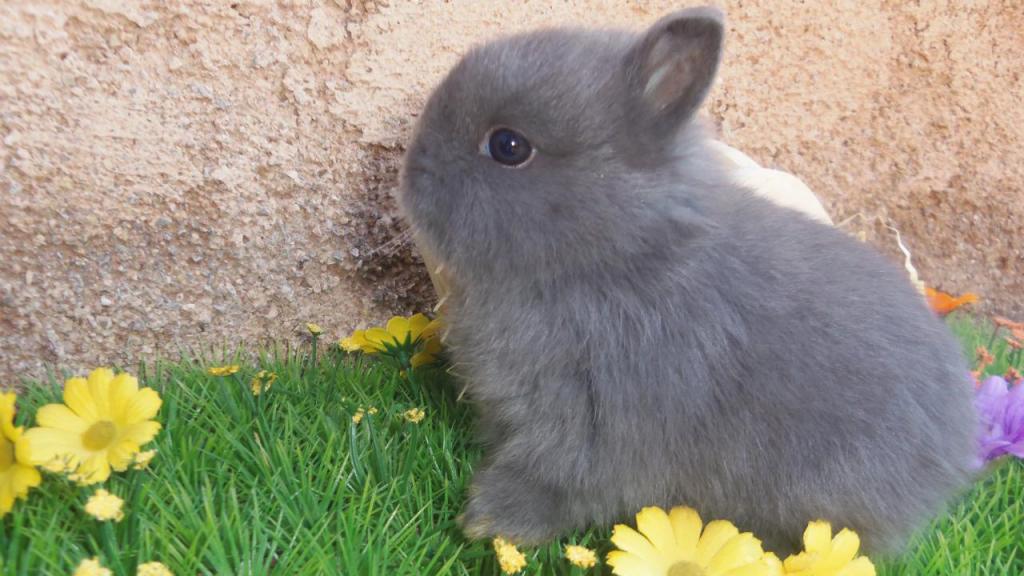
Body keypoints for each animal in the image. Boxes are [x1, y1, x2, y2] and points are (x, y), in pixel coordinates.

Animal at [393, 3, 974, 553]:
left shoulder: (594, 421)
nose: (410, 170)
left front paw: (488, 521)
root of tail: (955, 442)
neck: (623, 255)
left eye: (508, 146)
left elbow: (562, 480)